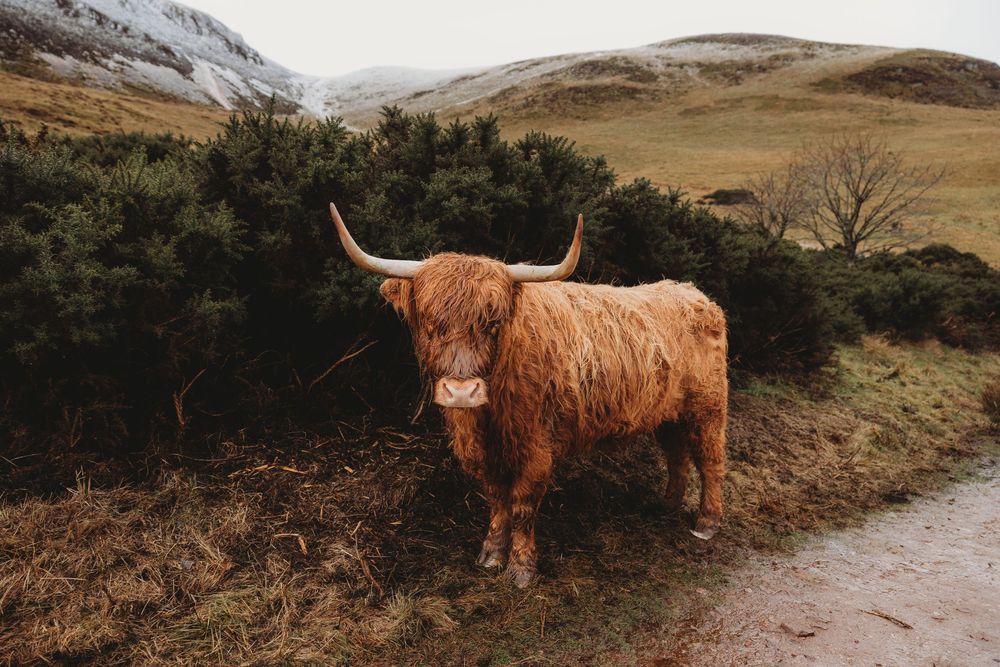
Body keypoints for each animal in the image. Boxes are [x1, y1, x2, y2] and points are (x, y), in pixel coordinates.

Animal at [329, 203, 727, 588]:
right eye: (429, 322)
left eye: (493, 323)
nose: (461, 392)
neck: (487, 416)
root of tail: (694, 293)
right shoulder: (480, 451)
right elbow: (496, 499)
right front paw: (491, 553)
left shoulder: (537, 447)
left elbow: (521, 504)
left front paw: (521, 568)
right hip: (669, 412)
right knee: (677, 455)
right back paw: (667, 504)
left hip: (708, 407)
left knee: (710, 460)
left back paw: (707, 523)